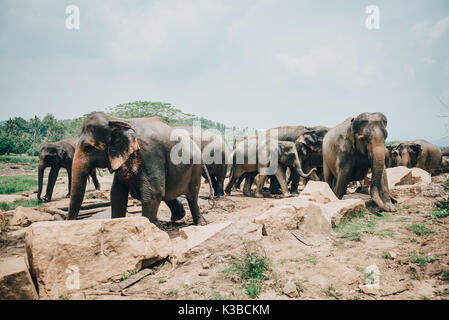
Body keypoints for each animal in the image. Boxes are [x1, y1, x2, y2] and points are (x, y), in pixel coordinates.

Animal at [67, 112, 213, 225]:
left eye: (88, 148)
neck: (119, 120)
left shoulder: (150, 153)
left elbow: (152, 192)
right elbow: (117, 193)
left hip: (195, 169)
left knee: (191, 195)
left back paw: (200, 223)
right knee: (167, 192)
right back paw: (178, 217)